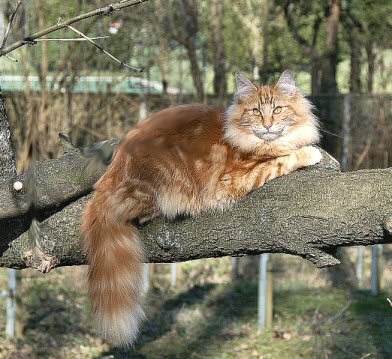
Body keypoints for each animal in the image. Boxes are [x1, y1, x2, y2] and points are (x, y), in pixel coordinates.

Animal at [82, 69, 322, 348]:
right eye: (256, 112)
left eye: (278, 109)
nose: (267, 125)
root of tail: (108, 179)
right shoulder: (235, 178)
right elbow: (283, 160)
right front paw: (310, 153)